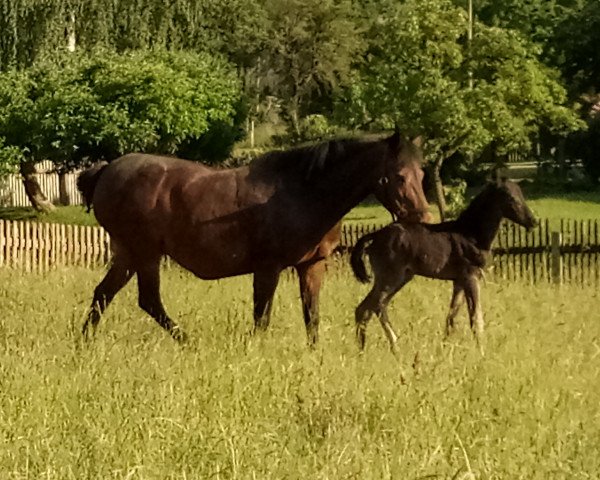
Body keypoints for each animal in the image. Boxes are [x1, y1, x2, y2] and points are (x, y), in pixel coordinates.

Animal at [350, 178, 536, 350]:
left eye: (521, 195)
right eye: (511, 198)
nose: (533, 222)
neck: (471, 234)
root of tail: (375, 236)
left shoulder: (459, 281)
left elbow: (451, 316)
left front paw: (445, 348)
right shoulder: (471, 277)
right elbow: (476, 318)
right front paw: (481, 351)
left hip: (400, 278)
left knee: (369, 308)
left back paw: (365, 349)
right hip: (391, 278)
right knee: (372, 307)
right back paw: (391, 346)